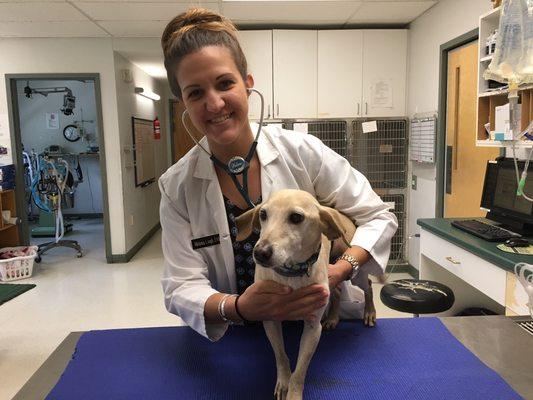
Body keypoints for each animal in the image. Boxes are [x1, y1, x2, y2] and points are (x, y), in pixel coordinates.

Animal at [236, 190, 378, 400]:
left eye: (296, 217)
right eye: (263, 214)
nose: (260, 252)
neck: (292, 274)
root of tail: (339, 213)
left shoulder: (312, 328)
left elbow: (300, 371)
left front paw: (293, 392)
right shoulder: (270, 321)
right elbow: (281, 356)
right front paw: (283, 383)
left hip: (355, 271)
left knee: (368, 286)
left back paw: (369, 312)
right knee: (336, 292)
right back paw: (333, 318)